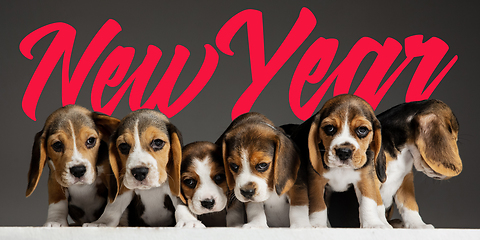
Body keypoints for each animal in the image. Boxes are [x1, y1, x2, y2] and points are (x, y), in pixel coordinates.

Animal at [284, 94, 390, 229]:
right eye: (329, 128)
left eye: (362, 129)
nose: (344, 152)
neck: (341, 169)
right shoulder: (316, 181)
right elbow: (319, 204)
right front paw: (317, 224)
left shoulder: (365, 178)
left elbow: (368, 201)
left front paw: (373, 224)